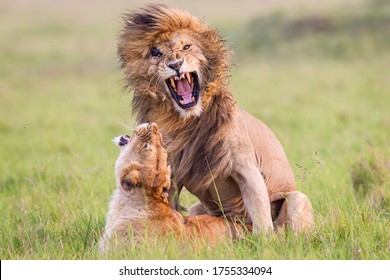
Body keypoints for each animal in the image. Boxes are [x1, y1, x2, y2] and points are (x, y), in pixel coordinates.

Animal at [118, 4, 314, 233]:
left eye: (186, 47)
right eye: (156, 52)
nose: (175, 64)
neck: (187, 122)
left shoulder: (247, 170)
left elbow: (261, 215)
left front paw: (264, 241)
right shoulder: (172, 173)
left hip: (297, 199)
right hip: (197, 208)